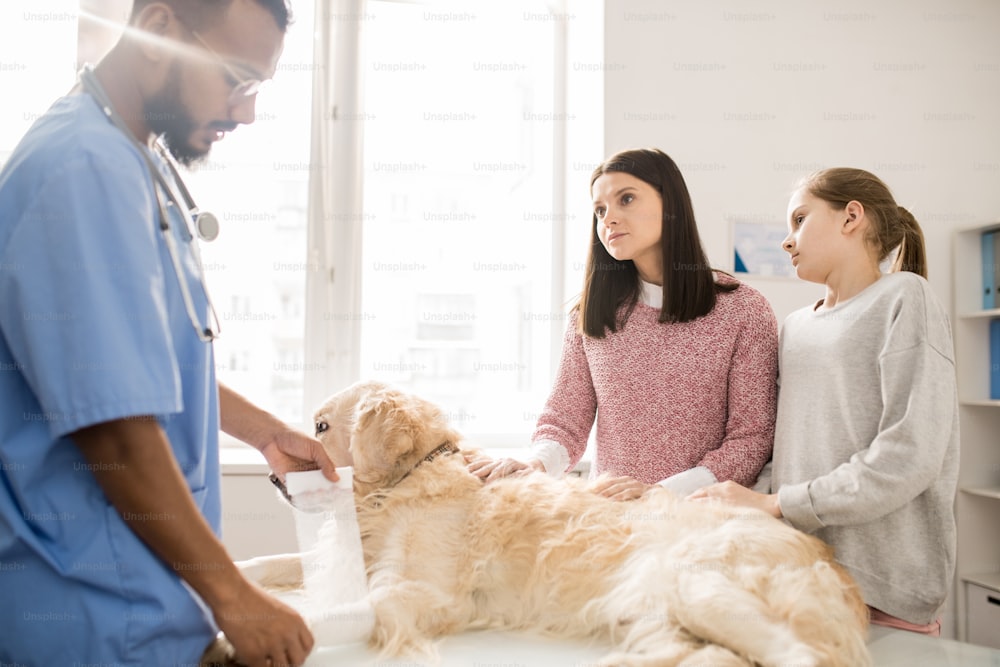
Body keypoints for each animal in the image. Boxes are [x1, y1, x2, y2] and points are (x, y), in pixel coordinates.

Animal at [242, 380, 868, 667]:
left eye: (322, 427)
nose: (272, 478)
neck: (402, 484)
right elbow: (271, 562)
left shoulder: (417, 592)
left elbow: (337, 614)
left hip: (701, 586)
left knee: (804, 658)